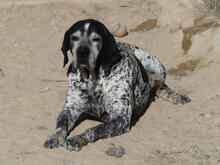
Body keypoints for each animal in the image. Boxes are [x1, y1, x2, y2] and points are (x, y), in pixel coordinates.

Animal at [43, 19, 191, 151]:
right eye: (74, 38)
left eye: (96, 39)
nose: (82, 52)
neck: (93, 79)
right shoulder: (70, 109)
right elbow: (61, 125)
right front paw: (55, 137)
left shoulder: (120, 118)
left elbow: (93, 129)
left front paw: (78, 139)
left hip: (156, 66)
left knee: (161, 87)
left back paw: (176, 96)